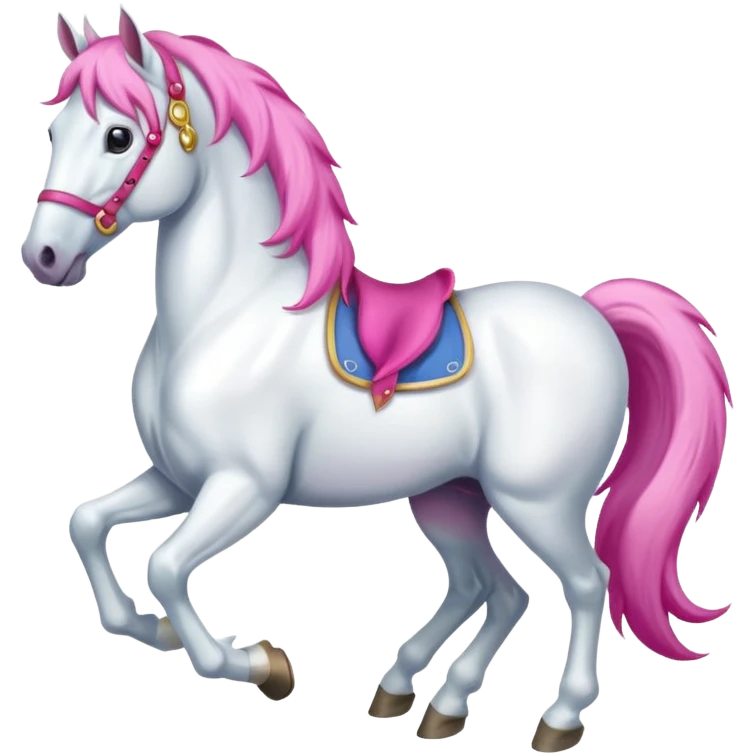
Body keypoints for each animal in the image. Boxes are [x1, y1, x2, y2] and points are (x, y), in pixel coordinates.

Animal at [22, 8, 733, 750]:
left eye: (119, 135)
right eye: (55, 130)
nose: (43, 256)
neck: (228, 313)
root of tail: (594, 316)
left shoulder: (242, 487)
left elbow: (163, 566)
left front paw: (264, 666)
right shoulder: (178, 478)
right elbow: (87, 522)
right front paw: (151, 629)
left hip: (538, 501)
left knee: (586, 583)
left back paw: (557, 718)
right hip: (450, 498)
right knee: (495, 590)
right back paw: (427, 699)